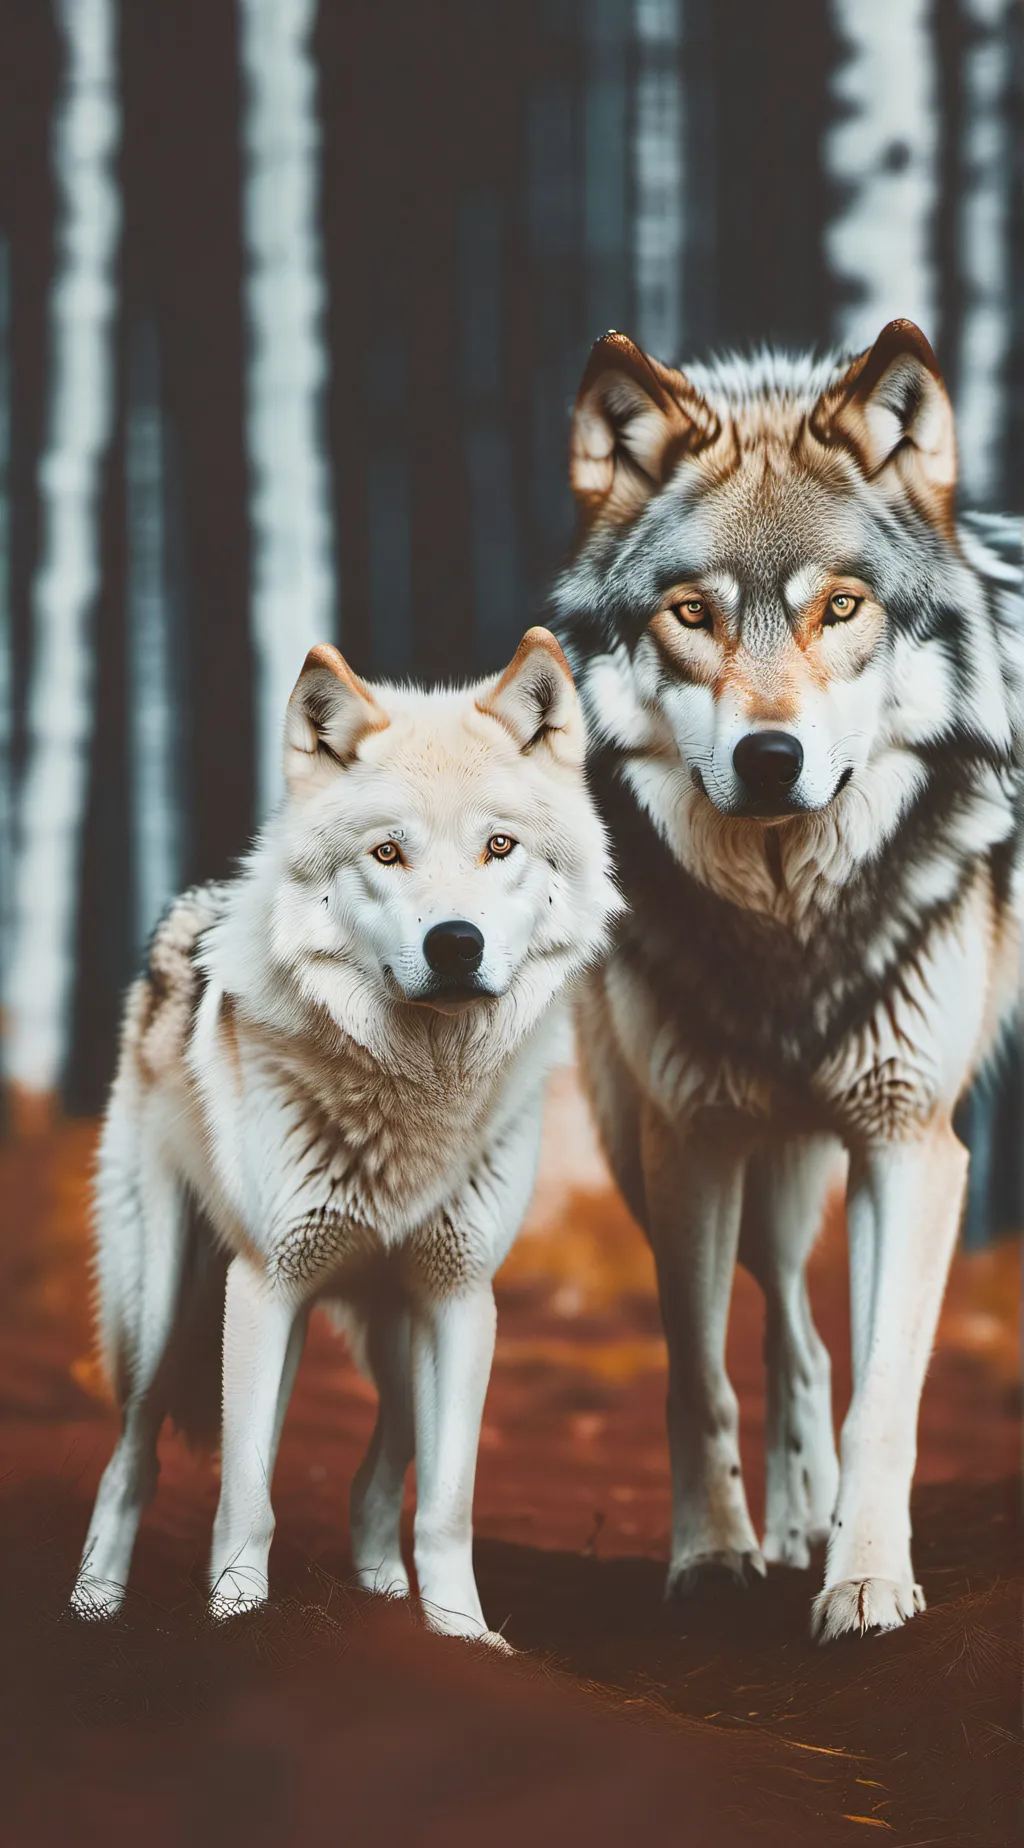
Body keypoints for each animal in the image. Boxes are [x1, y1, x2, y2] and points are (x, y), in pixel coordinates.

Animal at [71, 628, 618, 1642]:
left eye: (499, 846)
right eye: (388, 853)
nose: (455, 943)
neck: (414, 1100)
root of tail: (189, 908)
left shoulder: (461, 1299)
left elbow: (446, 1503)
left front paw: (462, 1637)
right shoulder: (267, 1286)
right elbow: (247, 1493)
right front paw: (236, 1618)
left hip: (390, 1325)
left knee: (379, 1472)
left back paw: (383, 1592)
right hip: (164, 1310)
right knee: (131, 1457)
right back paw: (93, 1604)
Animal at [553, 319, 1022, 1640]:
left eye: (842, 608)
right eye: (693, 613)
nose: (772, 758)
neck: (785, 930)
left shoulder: (911, 1143)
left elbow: (887, 1397)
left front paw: (866, 1580)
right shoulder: (690, 1138)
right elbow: (698, 1375)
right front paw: (714, 1558)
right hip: (669, 1143)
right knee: (791, 1344)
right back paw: (788, 1524)